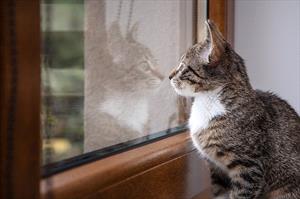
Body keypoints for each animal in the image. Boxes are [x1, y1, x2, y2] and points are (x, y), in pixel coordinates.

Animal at [169, 19, 300, 198]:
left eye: (182, 67)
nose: (169, 76)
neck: (207, 100)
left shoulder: (249, 168)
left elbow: (241, 193)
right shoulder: (215, 169)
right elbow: (218, 191)